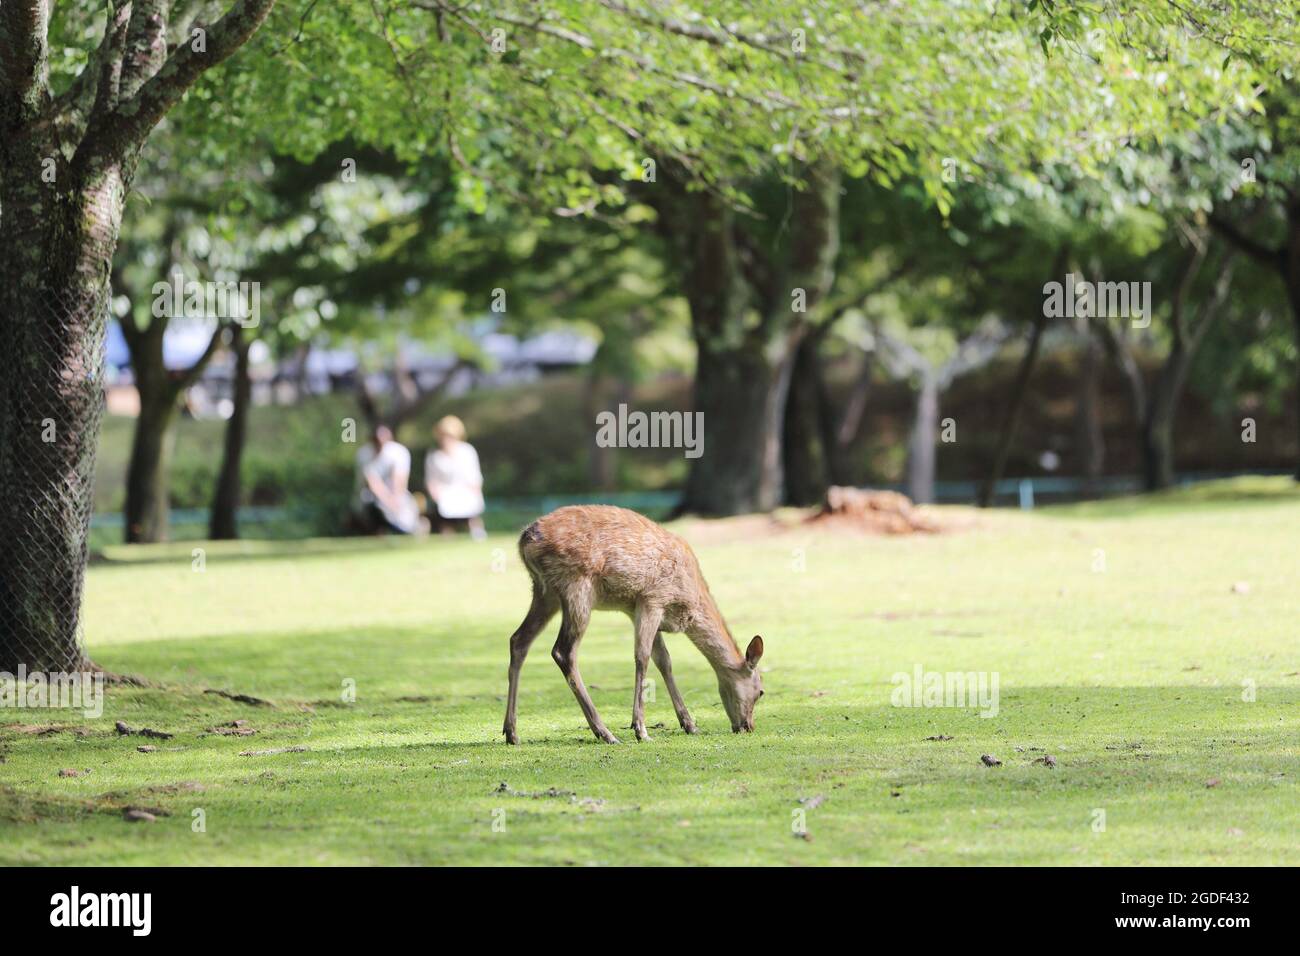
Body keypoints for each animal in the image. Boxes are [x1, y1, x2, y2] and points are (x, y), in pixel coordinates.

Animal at [503, 505, 764, 744]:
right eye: (761, 691)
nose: (748, 726)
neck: (690, 600)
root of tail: (526, 539)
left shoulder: (633, 608)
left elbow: (664, 660)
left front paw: (690, 725)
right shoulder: (653, 598)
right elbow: (643, 657)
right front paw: (641, 729)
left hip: (545, 592)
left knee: (519, 639)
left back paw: (511, 732)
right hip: (577, 586)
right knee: (563, 651)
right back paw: (605, 732)